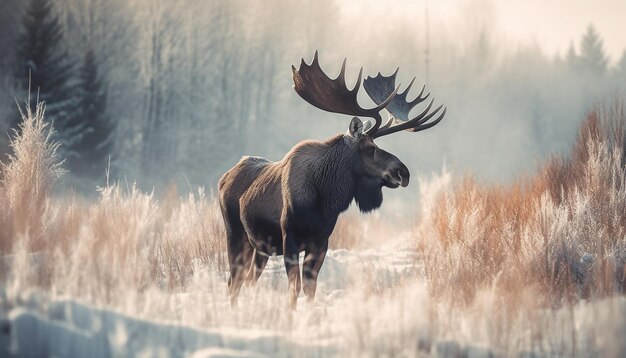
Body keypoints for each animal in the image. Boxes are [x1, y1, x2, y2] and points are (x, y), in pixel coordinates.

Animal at [218, 51, 444, 308]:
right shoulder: (289, 237)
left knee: (247, 281)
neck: (324, 199)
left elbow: (310, 288)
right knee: (233, 281)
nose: (403, 172)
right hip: (235, 233)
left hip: (260, 247)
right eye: (370, 147)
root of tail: (223, 178)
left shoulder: (321, 241)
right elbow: (294, 288)